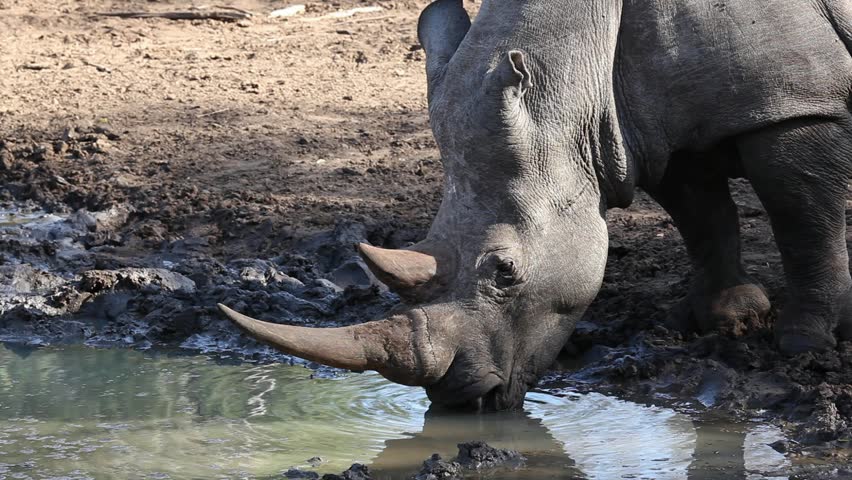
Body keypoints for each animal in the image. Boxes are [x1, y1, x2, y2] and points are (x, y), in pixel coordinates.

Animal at [219, 0, 852, 410]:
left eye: (505, 272)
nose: (461, 397)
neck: (575, 71)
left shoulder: (793, 104)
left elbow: (802, 220)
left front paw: (804, 342)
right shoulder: (649, 126)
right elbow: (701, 215)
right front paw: (725, 318)